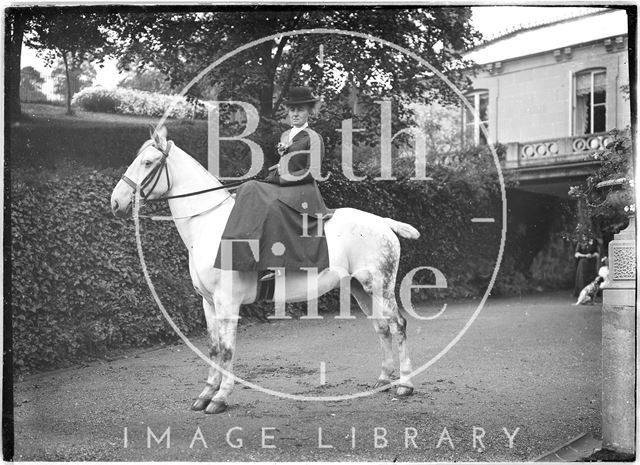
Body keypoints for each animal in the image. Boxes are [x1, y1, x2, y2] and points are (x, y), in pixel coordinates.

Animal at [110, 125, 420, 412]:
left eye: (148, 162)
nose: (116, 202)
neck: (209, 225)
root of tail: (382, 222)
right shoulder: (208, 302)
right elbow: (213, 347)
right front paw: (206, 393)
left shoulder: (227, 302)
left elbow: (227, 348)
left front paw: (220, 397)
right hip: (360, 289)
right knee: (382, 327)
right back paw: (383, 380)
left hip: (379, 287)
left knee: (398, 325)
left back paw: (405, 385)